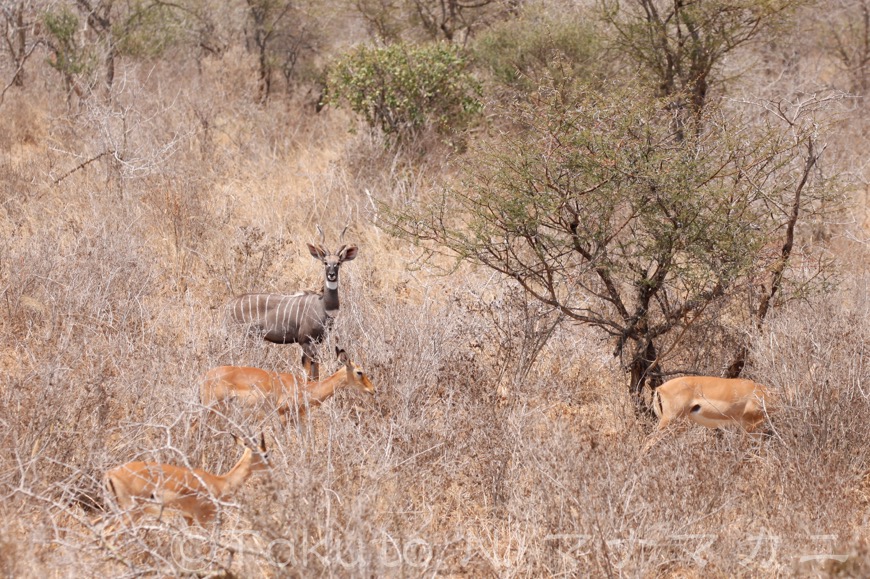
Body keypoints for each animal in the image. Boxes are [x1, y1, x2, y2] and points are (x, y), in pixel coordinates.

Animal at [104, 436, 270, 524]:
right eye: (266, 454)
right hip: (130, 513)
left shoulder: (187, 518)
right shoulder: (204, 518)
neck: (219, 482)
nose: (272, 468)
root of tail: (110, 473)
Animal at [201, 348, 378, 426]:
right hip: (212, 408)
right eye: (359, 372)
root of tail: (205, 376)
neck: (305, 388)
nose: (373, 390)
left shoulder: (299, 417)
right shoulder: (282, 414)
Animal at [230, 231, 360, 380]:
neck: (323, 306)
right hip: (244, 335)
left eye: (338, 263)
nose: (331, 275)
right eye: (325, 262)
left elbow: (315, 371)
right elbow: (308, 371)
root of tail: (232, 303)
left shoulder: (317, 342)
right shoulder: (305, 341)